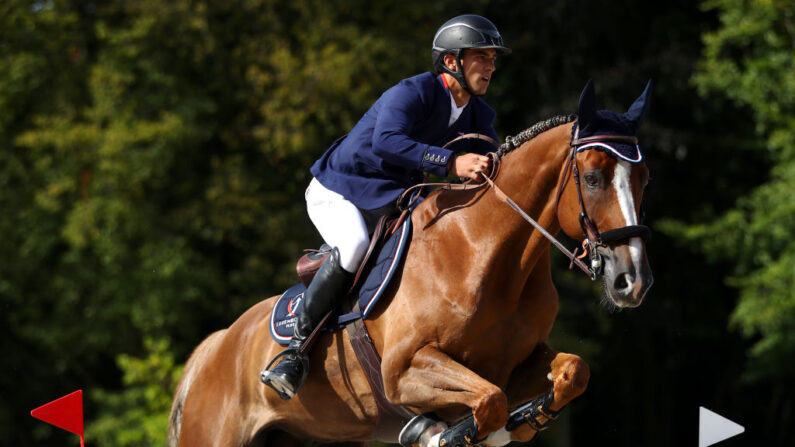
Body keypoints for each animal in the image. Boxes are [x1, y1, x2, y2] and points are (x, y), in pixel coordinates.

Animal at [166, 80, 652, 447]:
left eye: (644, 178)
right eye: (592, 178)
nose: (633, 282)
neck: (486, 255)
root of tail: (217, 346)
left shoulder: (517, 364)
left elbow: (572, 372)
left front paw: (521, 422)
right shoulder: (403, 370)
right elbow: (490, 402)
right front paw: (439, 434)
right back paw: (287, 369)